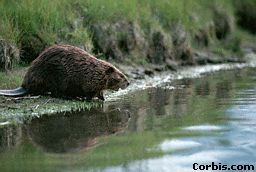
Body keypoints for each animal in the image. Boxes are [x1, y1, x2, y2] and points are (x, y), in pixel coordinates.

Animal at [0, 44, 129, 101]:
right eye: (121, 75)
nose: (128, 83)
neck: (96, 70)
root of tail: (25, 86)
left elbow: (99, 92)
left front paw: (103, 98)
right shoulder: (90, 80)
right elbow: (89, 92)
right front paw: (89, 99)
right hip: (57, 76)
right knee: (56, 92)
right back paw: (71, 97)